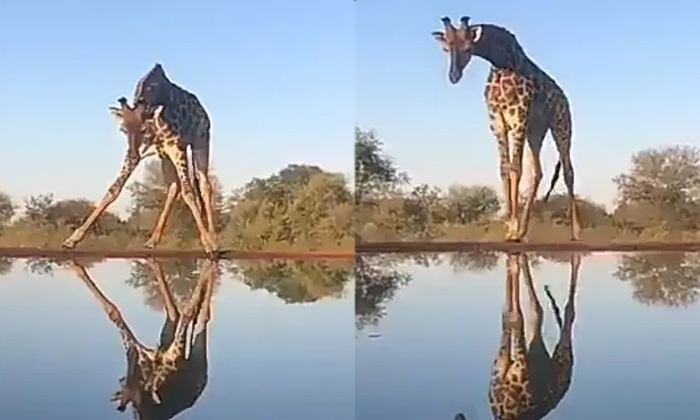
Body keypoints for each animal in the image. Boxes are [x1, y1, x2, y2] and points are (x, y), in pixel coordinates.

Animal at [62, 62, 219, 253]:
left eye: (143, 129)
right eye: (123, 130)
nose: (132, 154)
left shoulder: (177, 148)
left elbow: (189, 192)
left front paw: (208, 244)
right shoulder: (145, 152)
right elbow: (113, 189)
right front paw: (73, 239)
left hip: (201, 142)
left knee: (204, 185)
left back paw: (213, 239)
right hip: (164, 156)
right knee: (173, 187)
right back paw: (152, 240)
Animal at [432, 16, 580, 241]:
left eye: (468, 48)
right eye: (446, 49)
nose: (454, 76)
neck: (501, 64)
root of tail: (564, 98)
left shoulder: (518, 119)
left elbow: (515, 169)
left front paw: (513, 228)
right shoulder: (498, 124)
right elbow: (504, 169)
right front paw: (511, 228)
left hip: (561, 127)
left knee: (568, 171)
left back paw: (576, 231)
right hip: (536, 132)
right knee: (538, 172)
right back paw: (524, 230)